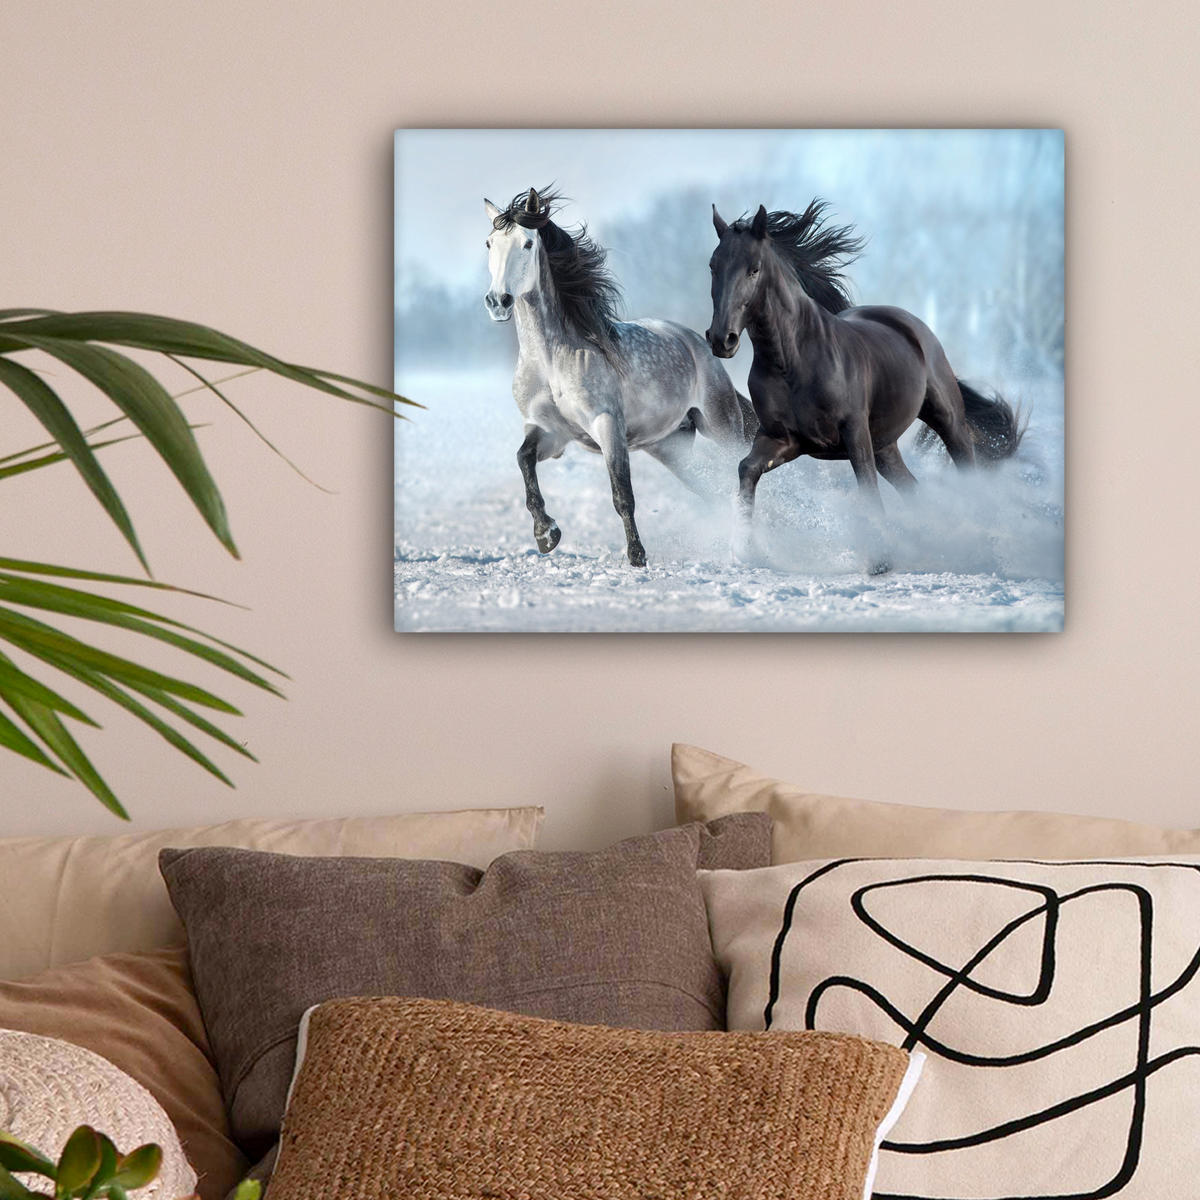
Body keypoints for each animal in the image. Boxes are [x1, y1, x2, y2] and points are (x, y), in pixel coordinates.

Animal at [484, 187, 756, 567]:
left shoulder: (607, 425)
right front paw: (546, 534)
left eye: (526, 243)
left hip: (722, 426)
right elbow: (523, 461)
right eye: (490, 243)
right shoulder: (550, 432)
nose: (498, 301)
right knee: (711, 489)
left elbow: (622, 494)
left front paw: (637, 556)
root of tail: (697, 343)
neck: (552, 361)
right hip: (670, 447)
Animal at [705, 199, 1024, 569]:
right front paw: (746, 550)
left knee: (965, 467)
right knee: (913, 489)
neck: (793, 361)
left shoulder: (854, 432)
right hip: (885, 446)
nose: (721, 339)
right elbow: (747, 469)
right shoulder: (783, 439)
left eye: (754, 270)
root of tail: (912, 325)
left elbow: (867, 488)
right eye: (713, 266)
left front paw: (881, 560)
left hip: (947, 419)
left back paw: (981, 547)